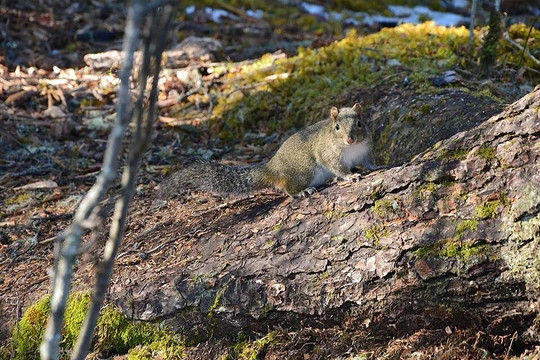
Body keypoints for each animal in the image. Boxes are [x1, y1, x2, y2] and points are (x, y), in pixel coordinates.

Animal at [169, 102, 380, 197]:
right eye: (337, 127)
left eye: (359, 123)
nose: (350, 138)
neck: (351, 148)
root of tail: (273, 169)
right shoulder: (329, 155)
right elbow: (339, 168)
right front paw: (350, 176)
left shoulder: (364, 152)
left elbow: (369, 162)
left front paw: (377, 167)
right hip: (304, 170)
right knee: (287, 188)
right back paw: (302, 192)